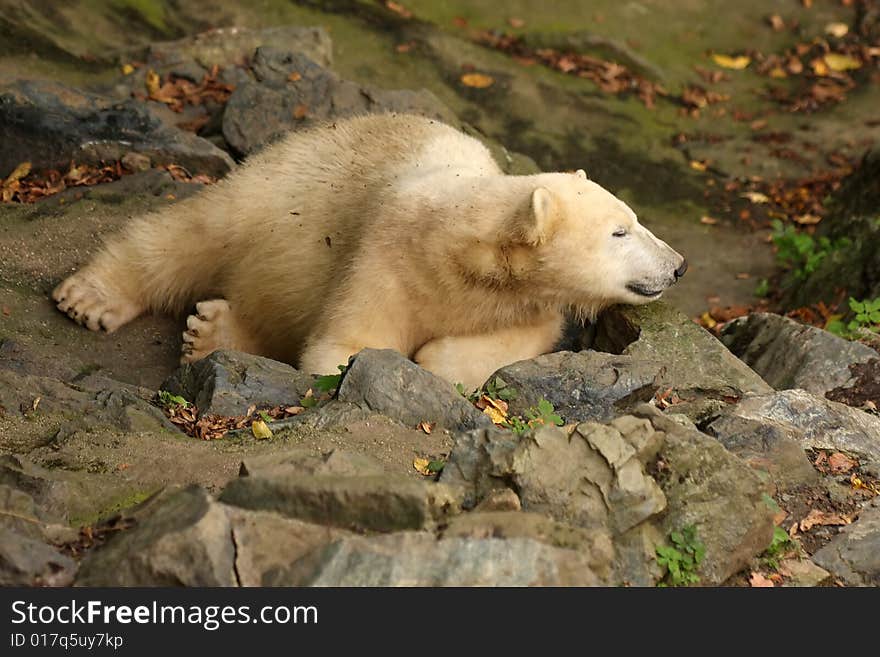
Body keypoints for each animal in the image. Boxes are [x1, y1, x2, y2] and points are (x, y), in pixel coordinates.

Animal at [53, 113, 688, 390]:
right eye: (621, 231)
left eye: (634, 220)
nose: (678, 265)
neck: (464, 251)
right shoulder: (388, 257)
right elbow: (343, 347)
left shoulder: (525, 304)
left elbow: (511, 341)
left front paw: (435, 358)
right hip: (280, 190)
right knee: (196, 231)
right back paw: (91, 297)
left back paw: (212, 332)